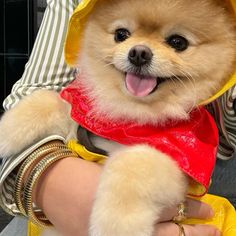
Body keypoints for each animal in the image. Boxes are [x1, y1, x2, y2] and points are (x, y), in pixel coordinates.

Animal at [0, 0, 236, 236]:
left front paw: (116, 226)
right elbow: (46, 100)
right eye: (121, 34)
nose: (139, 53)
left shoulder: (179, 165)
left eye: (178, 42)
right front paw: (5, 133)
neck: (128, 116)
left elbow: (132, 165)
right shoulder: (80, 119)